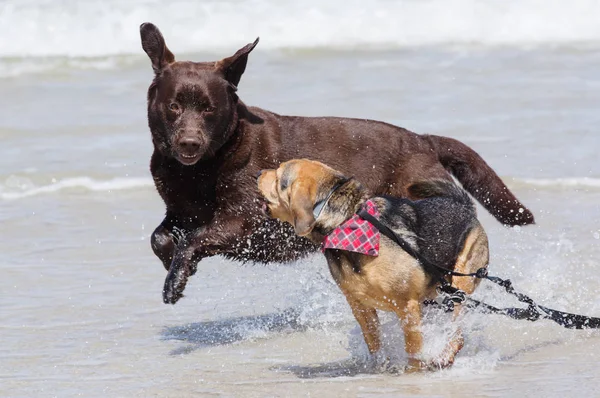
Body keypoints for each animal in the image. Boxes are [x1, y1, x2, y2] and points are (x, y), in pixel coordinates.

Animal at [256, 159, 488, 370]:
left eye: (278, 177)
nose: (258, 172)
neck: (345, 224)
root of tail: (464, 205)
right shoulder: (360, 307)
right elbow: (374, 344)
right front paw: (381, 368)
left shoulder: (408, 306)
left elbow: (413, 350)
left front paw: (413, 372)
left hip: (459, 286)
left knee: (457, 333)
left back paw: (444, 356)